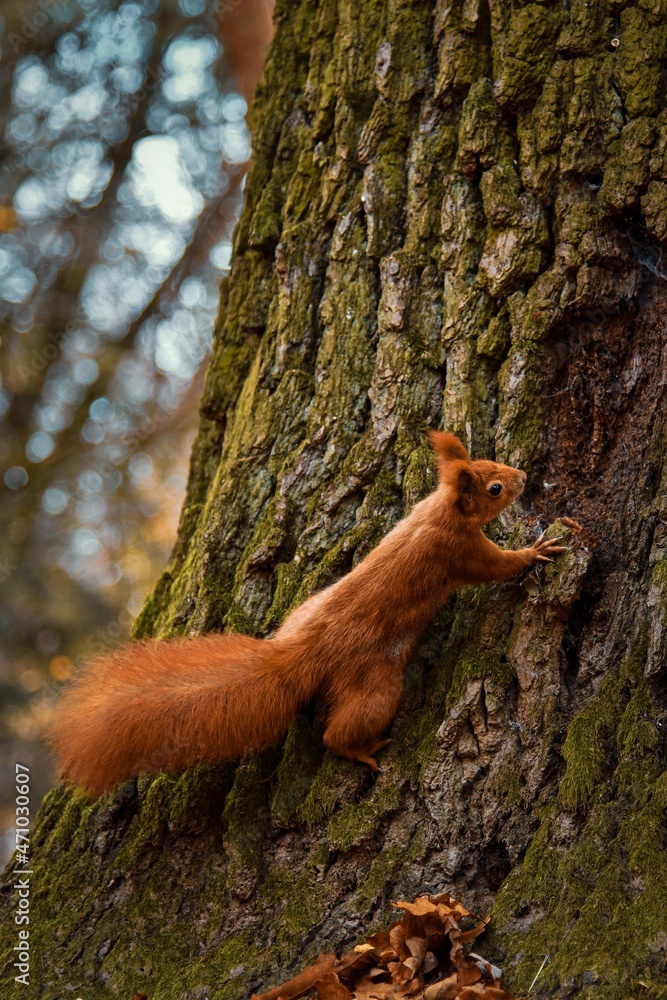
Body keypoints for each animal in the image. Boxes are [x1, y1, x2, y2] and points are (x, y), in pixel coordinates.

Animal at [47, 432, 567, 796]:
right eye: (495, 487)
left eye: (491, 461)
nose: (523, 476)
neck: (441, 512)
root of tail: (298, 655)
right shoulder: (460, 553)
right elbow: (498, 566)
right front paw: (537, 551)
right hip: (377, 685)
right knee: (337, 733)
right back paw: (362, 750)